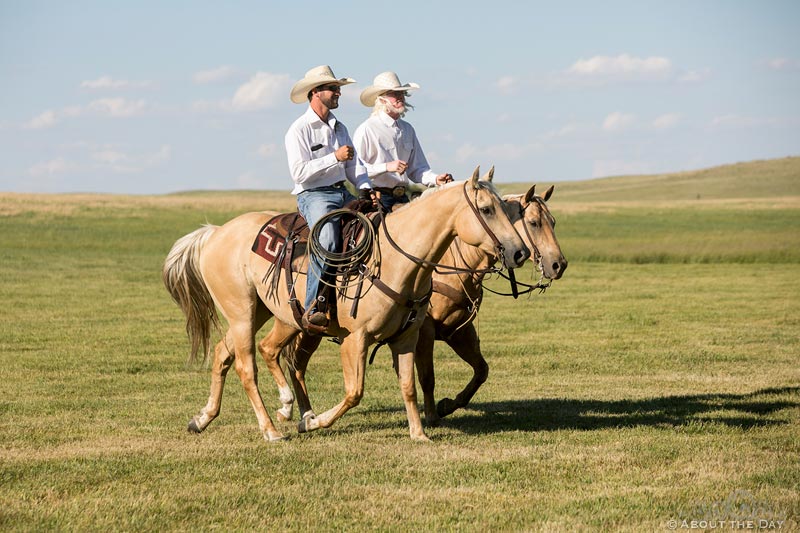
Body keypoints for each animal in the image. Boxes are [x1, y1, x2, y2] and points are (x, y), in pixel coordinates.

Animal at [162, 169, 528, 440]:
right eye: (486, 209)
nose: (519, 252)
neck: (396, 258)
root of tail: (215, 232)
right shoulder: (356, 339)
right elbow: (355, 392)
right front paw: (312, 422)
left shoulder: (407, 337)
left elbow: (408, 385)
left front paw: (419, 434)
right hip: (243, 313)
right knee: (245, 366)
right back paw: (271, 429)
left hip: (265, 313)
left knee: (226, 354)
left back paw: (204, 418)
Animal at [272, 179, 564, 428]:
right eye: (534, 223)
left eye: (552, 221)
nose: (558, 264)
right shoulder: (425, 330)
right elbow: (427, 376)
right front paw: (433, 415)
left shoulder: (458, 331)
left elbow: (481, 370)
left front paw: (448, 405)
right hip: (296, 322)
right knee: (281, 355)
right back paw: (294, 412)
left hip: (310, 330)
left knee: (296, 364)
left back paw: (303, 414)